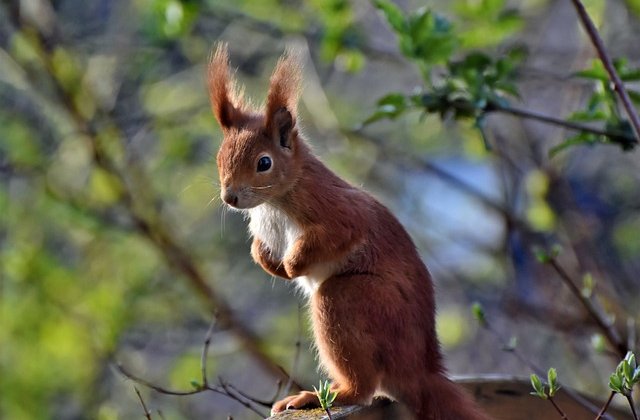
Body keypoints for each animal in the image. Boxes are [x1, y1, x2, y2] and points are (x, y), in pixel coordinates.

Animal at [208, 44, 488, 418]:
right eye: (220, 157)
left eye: (264, 163)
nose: (231, 197)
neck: (275, 201)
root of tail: (418, 371)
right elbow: (260, 249)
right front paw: (270, 263)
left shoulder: (338, 211)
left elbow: (338, 234)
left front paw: (293, 265)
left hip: (351, 301)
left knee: (363, 386)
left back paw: (325, 395)